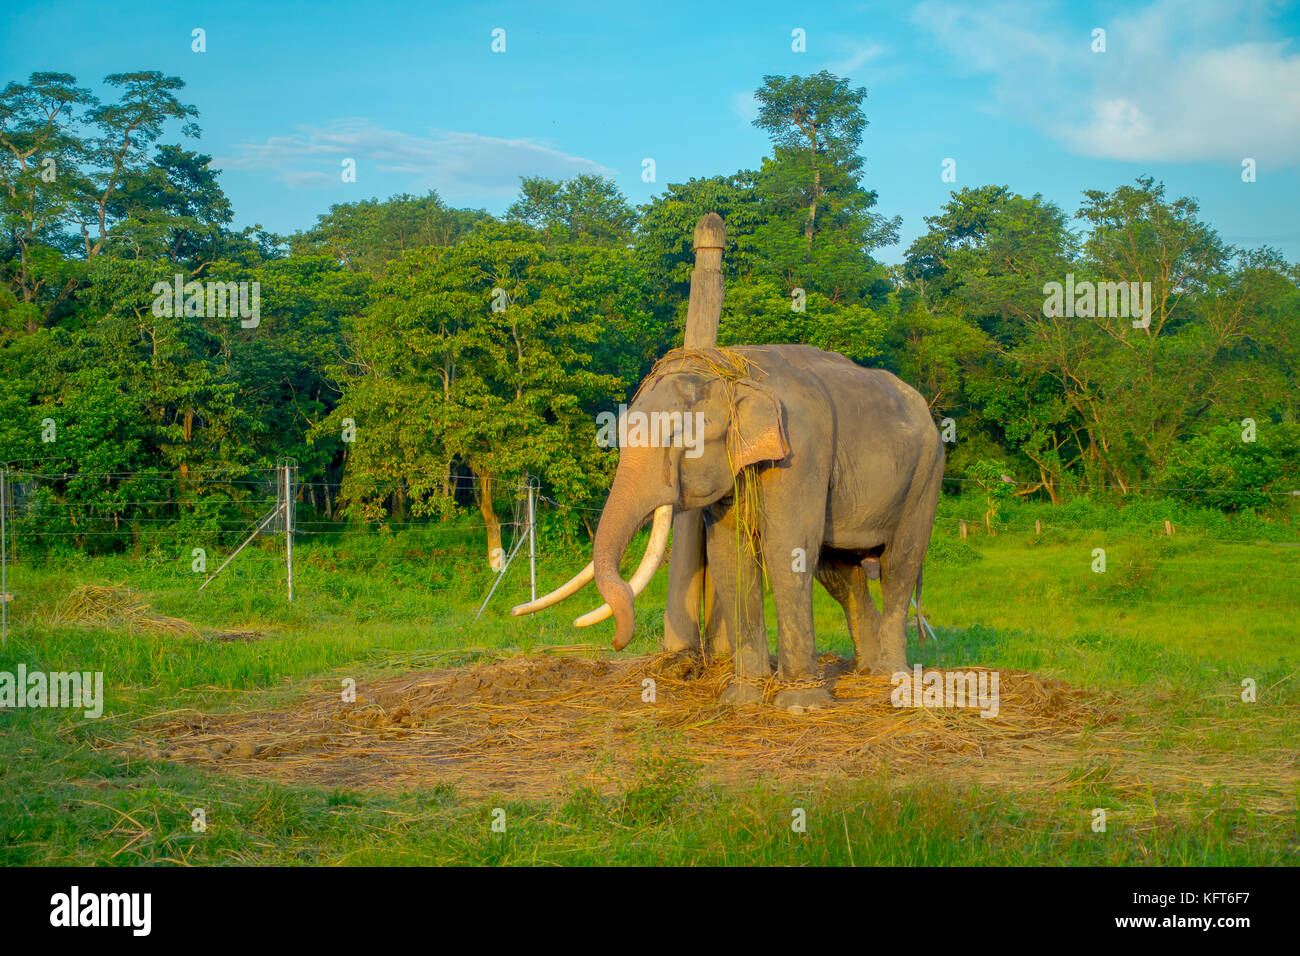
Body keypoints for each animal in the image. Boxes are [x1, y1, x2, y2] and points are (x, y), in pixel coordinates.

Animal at [512, 343, 951, 712]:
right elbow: (729, 558)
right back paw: (866, 670)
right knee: (841, 573)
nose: (617, 642)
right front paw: (743, 697)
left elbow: (787, 552)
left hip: (927, 474)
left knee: (899, 564)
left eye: (679, 436)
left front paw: (800, 705)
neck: (737, 373)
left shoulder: (800, 454)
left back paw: (890, 677)